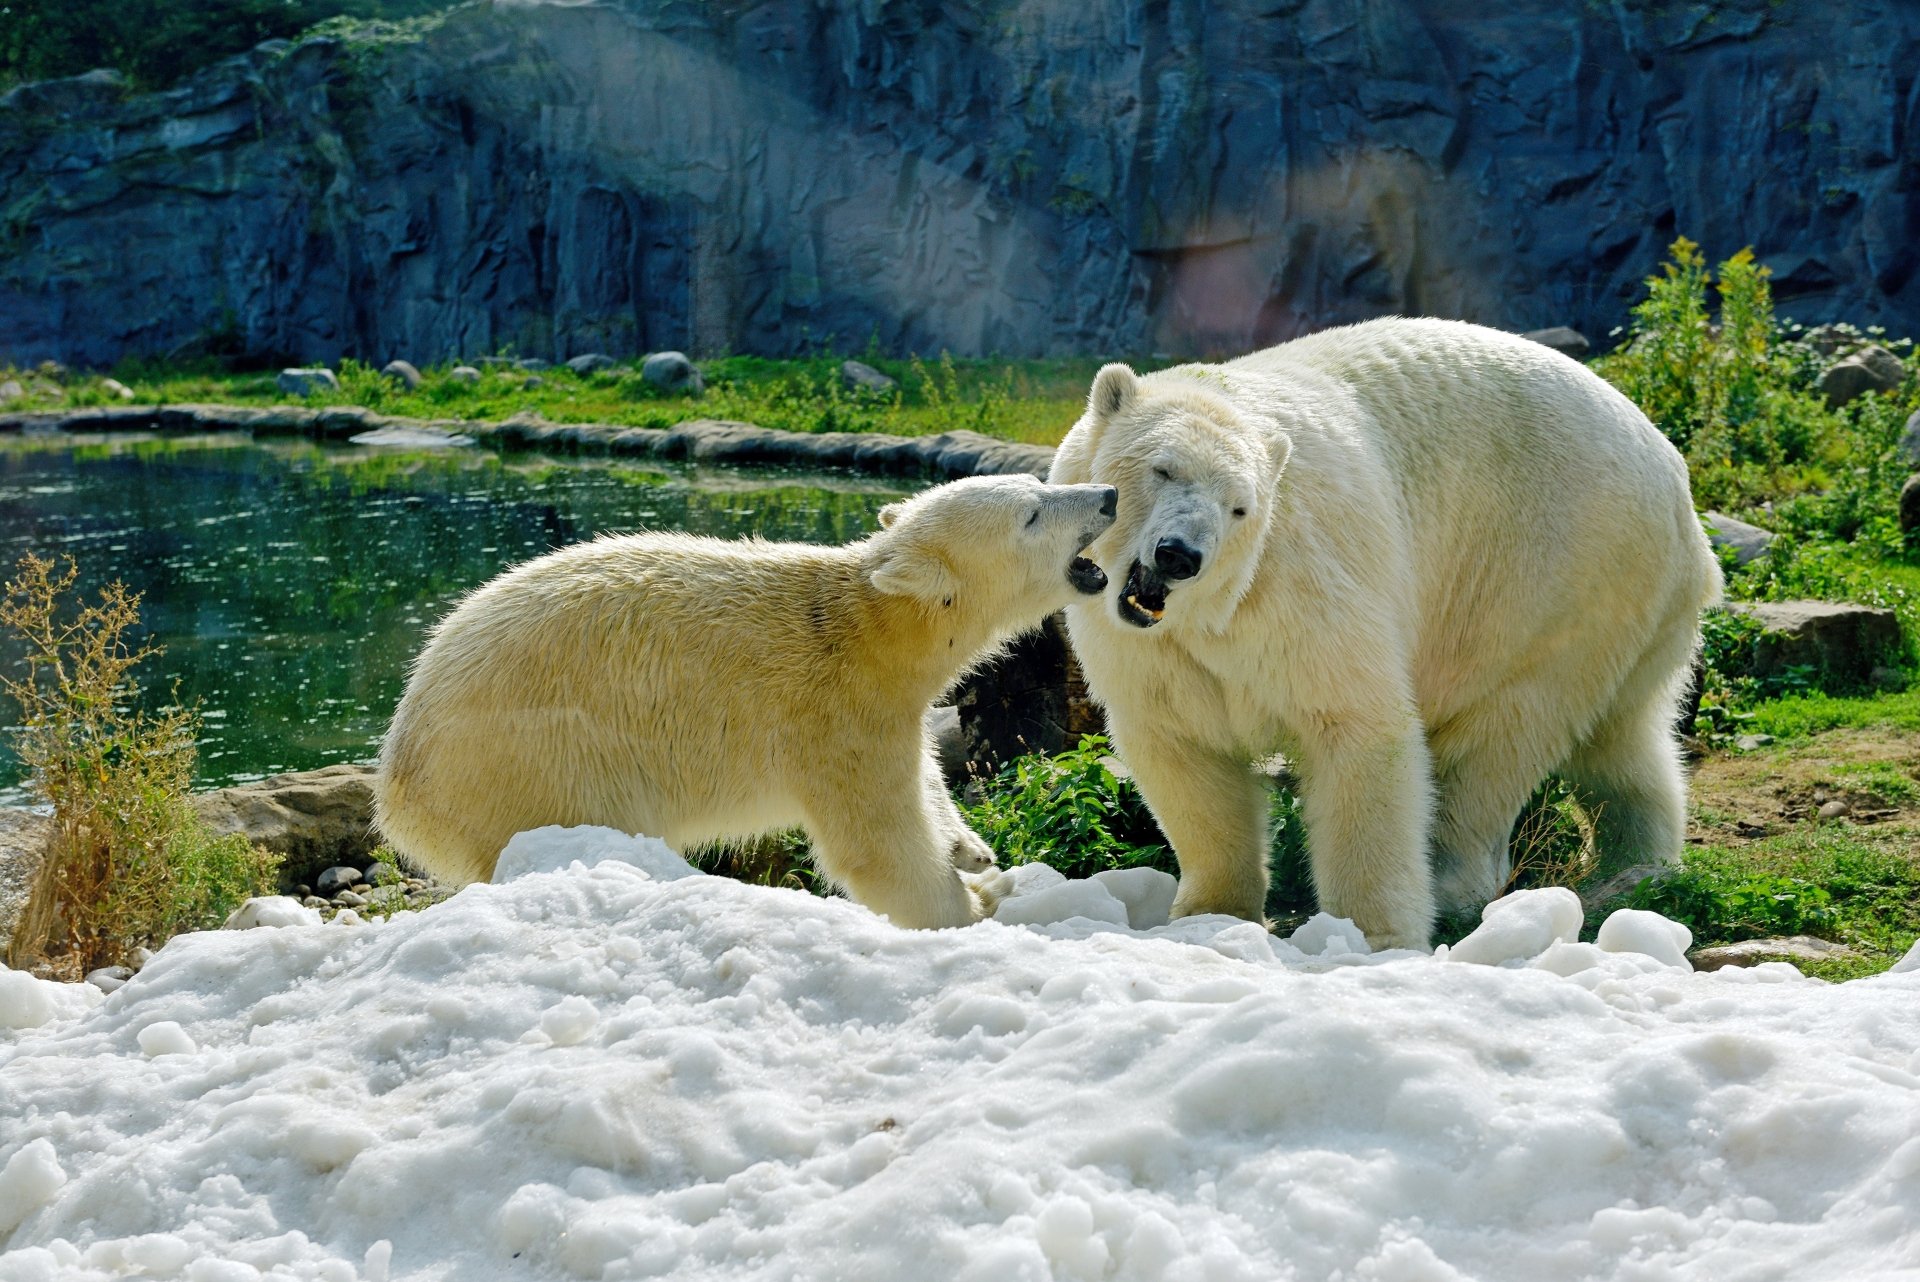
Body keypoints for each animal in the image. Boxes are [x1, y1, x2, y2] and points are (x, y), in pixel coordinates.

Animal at [373, 473, 1117, 929]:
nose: (1107, 495)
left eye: (1039, 485)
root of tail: (396, 779)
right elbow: (879, 846)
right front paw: (968, 910)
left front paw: (972, 852)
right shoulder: (835, 715)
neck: (870, 630)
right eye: (1032, 513)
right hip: (534, 763)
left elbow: (925, 776)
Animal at [1048, 317, 1722, 950]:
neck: (1210, 616)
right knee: (1623, 736)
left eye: (1240, 507)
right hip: (1630, 604)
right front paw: (1209, 912)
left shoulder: (1297, 586)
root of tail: (1676, 479)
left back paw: (1460, 879)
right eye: (1162, 469)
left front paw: (1372, 934)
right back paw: (1636, 864)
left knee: (1503, 735)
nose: (1180, 555)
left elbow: (1357, 726)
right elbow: (1181, 745)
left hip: (1557, 575)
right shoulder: (1146, 647)